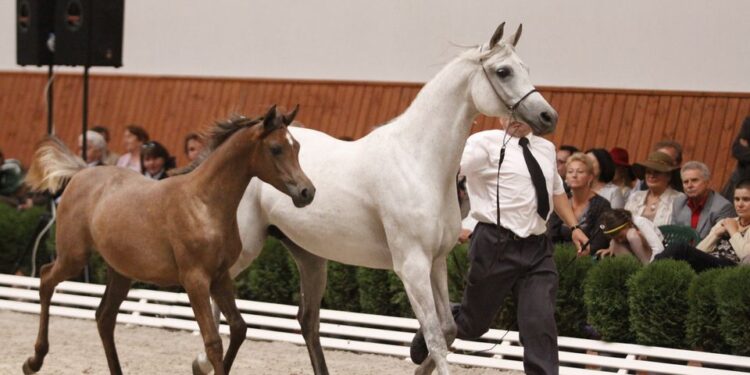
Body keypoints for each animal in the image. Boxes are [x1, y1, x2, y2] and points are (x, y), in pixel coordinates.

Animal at [21, 104, 314, 374]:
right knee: (46, 279)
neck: (204, 203)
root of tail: (82, 172)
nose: (306, 192)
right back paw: (34, 360)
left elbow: (239, 328)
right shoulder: (195, 279)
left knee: (104, 317)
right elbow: (213, 342)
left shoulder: (221, 277)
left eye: (298, 147)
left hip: (120, 272)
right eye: (275, 148)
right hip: (74, 256)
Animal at [194, 22, 560, 375]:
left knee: (306, 321)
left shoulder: (437, 261)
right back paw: (202, 362)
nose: (548, 117)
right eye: (503, 71)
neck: (418, 161)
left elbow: (448, 329)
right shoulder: (412, 266)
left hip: (310, 257)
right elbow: (435, 336)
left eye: (525, 68)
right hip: (246, 248)